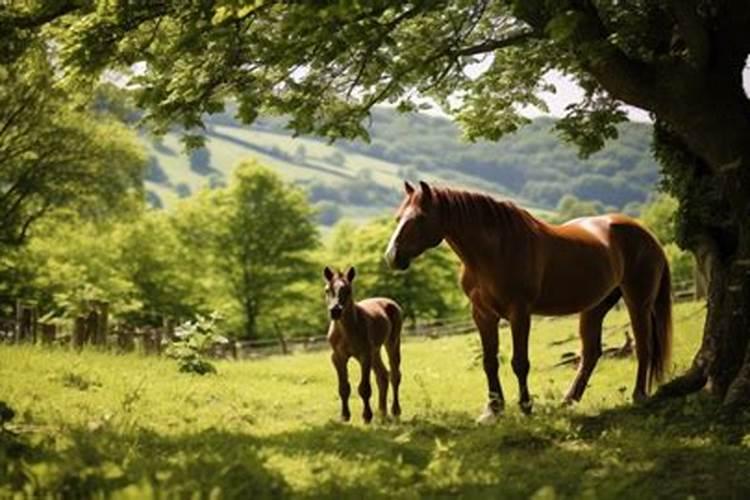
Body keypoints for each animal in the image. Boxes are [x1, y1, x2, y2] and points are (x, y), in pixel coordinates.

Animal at [323, 266, 403, 423]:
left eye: (348, 290)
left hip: (392, 343)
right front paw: (344, 416)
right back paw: (382, 412)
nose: (335, 311)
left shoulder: (364, 355)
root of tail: (390, 302)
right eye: (327, 290)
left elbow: (364, 388)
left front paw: (367, 416)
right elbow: (343, 388)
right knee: (382, 376)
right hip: (375, 351)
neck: (347, 331)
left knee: (394, 375)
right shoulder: (337, 357)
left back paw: (395, 410)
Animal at [384, 181, 672, 424]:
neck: (494, 250)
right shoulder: (483, 314)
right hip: (595, 307)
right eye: (398, 217)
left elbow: (519, 362)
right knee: (591, 354)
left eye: (420, 218)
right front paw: (493, 410)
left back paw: (638, 395)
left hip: (638, 301)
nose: (392, 257)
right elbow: (490, 362)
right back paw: (568, 401)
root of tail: (647, 234)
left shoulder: (519, 312)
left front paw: (525, 407)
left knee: (643, 346)